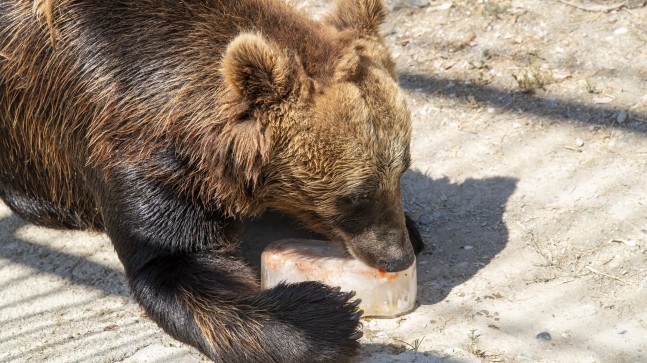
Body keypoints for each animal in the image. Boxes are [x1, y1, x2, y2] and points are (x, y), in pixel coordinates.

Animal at [0, 0, 426, 362]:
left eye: (402, 169)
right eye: (354, 195)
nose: (398, 256)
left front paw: (413, 227)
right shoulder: (135, 155)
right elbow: (176, 260)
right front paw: (326, 314)